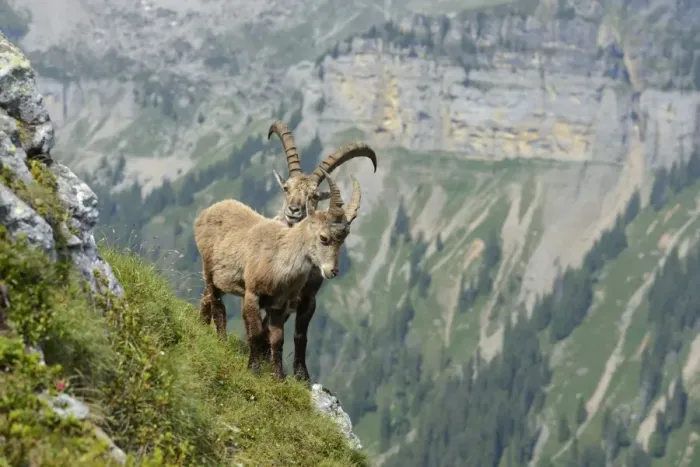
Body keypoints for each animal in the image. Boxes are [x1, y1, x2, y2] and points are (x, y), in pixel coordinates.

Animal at [193, 169, 361, 379]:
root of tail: (207, 212)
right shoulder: (252, 294)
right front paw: (254, 370)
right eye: (323, 238)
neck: (281, 258)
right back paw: (221, 342)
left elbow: (277, 339)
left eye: (342, 240)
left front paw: (279, 378)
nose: (333, 271)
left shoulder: (280, 305)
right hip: (208, 270)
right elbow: (256, 333)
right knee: (218, 307)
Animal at [265, 121, 377, 381]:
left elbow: (300, 335)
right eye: (286, 188)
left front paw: (302, 375)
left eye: (314, 196)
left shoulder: (309, 300)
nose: (293, 211)